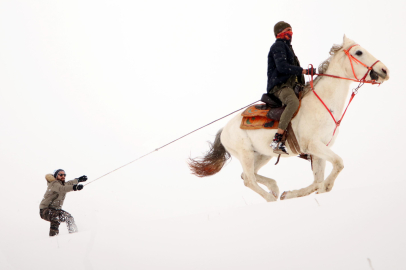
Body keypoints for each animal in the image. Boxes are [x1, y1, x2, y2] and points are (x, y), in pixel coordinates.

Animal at [190, 35, 390, 200]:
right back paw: (271, 198)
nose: (385, 70)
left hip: (262, 155)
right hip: (245, 154)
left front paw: (295, 193)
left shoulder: (320, 150)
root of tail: (224, 130)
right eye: (359, 52)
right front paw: (325, 186)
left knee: (248, 175)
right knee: (249, 179)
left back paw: (275, 188)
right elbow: (337, 164)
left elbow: (318, 180)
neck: (323, 103)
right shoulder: (313, 146)